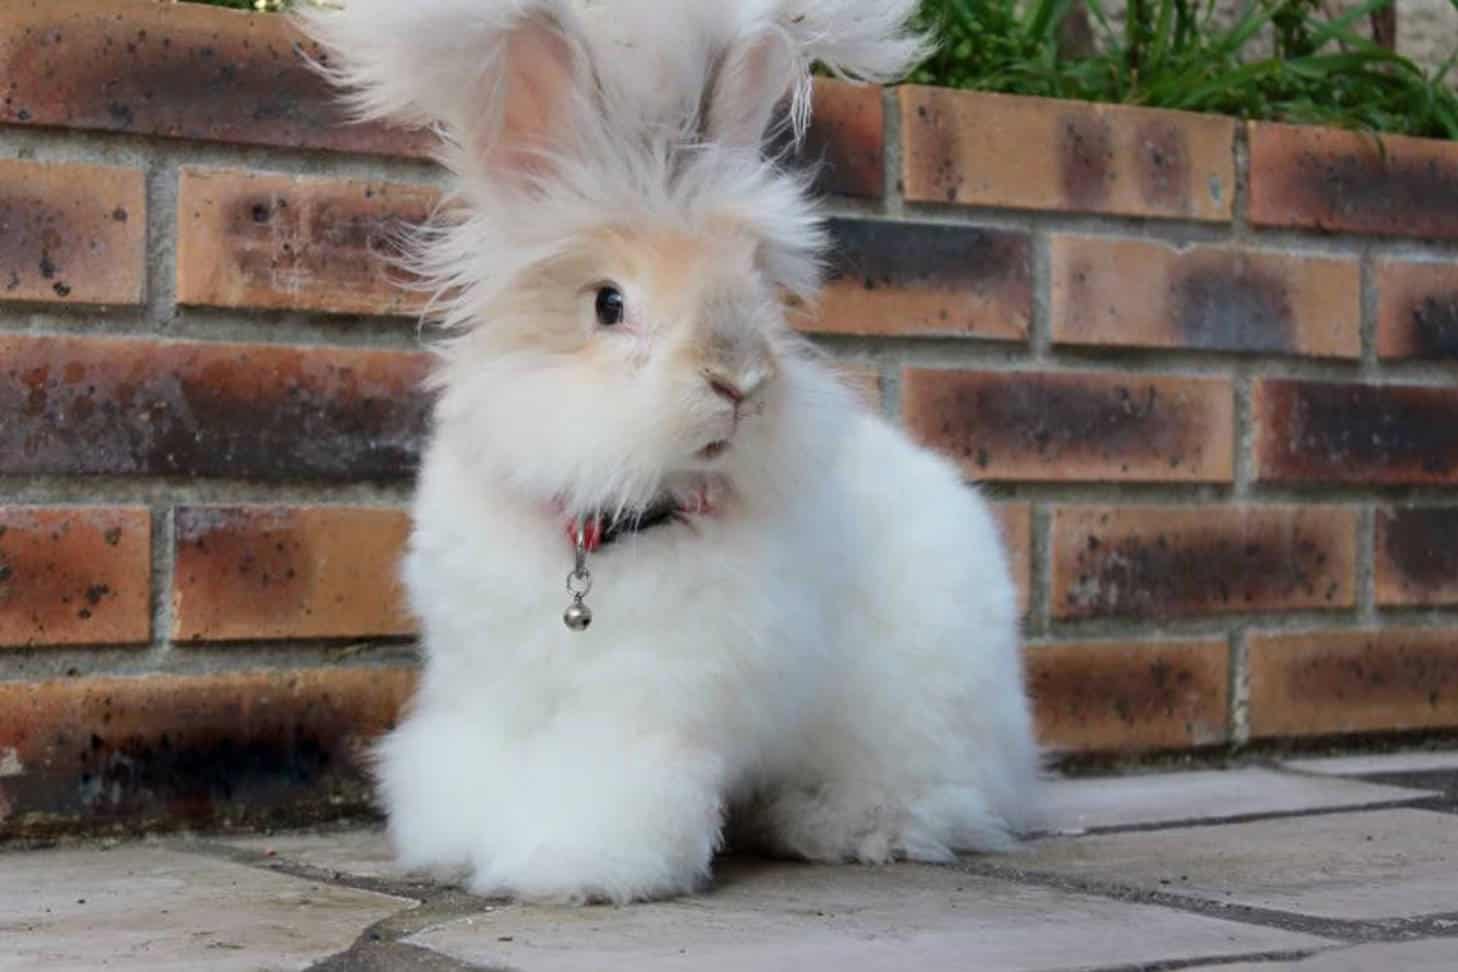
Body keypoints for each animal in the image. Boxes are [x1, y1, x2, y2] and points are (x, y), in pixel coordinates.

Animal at [301, 0, 1043, 903]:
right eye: (609, 304)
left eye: (757, 287)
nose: (740, 381)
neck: (602, 532)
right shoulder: (485, 689)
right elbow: (473, 766)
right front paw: (459, 847)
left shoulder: (647, 709)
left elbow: (605, 788)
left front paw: (562, 869)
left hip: (916, 720)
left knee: (933, 793)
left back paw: (843, 827)